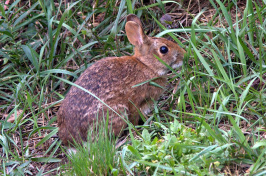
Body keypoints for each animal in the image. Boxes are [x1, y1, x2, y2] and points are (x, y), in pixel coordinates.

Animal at [56, 14, 185, 145]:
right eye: (163, 49)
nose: (184, 54)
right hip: (117, 112)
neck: (147, 65)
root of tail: (70, 137)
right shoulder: (136, 101)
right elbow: (134, 116)